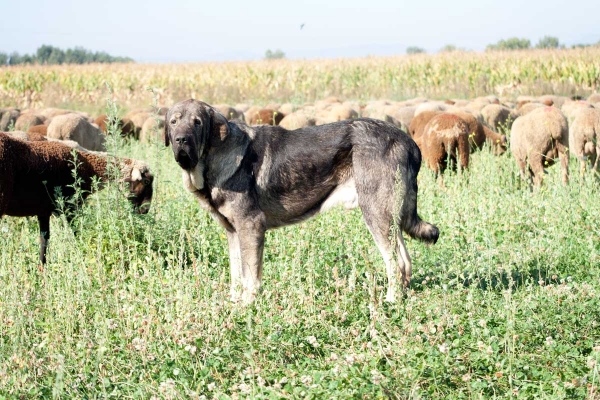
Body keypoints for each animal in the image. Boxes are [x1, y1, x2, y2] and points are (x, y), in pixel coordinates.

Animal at [0, 132, 155, 266]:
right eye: (146, 181)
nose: (145, 210)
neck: (87, 167)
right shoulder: (71, 207)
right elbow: (76, 232)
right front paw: (83, 253)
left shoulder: (43, 211)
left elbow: (44, 240)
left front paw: (42, 268)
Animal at [164, 99, 440, 304]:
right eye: (173, 122)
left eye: (197, 123)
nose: (181, 140)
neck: (212, 158)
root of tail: (409, 142)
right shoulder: (233, 232)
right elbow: (236, 275)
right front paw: (234, 305)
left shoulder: (251, 226)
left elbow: (250, 276)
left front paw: (247, 308)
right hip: (390, 217)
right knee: (405, 261)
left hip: (375, 213)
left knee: (395, 263)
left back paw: (390, 302)